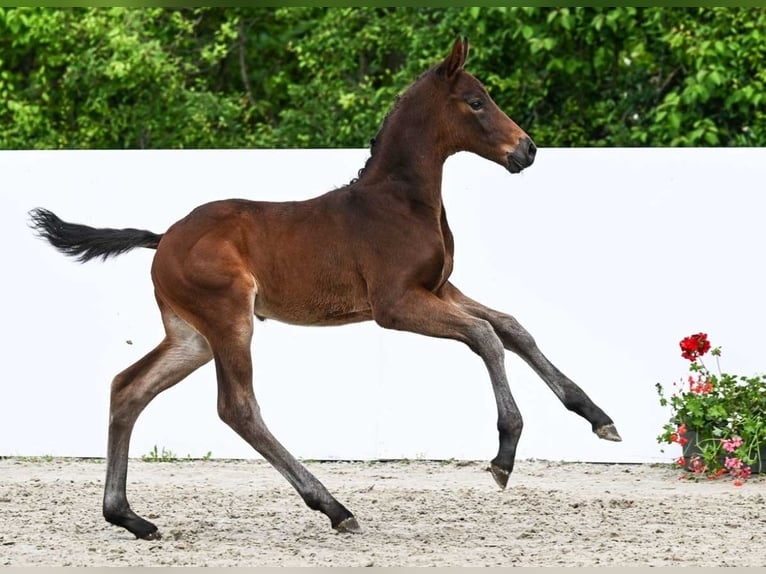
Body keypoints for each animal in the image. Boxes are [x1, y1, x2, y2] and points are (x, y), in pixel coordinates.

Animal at [28, 38, 624, 544]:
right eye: (476, 102)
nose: (527, 150)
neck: (400, 201)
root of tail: (164, 238)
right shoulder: (395, 304)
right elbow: (485, 336)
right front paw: (504, 454)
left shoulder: (438, 287)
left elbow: (511, 327)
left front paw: (597, 417)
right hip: (228, 318)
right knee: (237, 408)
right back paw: (334, 508)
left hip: (191, 337)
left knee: (129, 388)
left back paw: (129, 517)